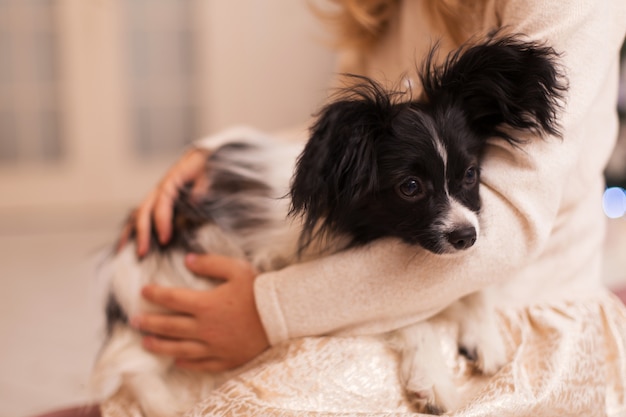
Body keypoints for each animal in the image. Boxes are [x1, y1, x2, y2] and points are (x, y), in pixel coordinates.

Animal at [90, 34, 564, 414]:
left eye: (469, 174)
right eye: (410, 187)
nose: (466, 237)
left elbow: (475, 284)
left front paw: (484, 336)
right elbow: (411, 319)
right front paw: (431, 380)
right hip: (181, 282)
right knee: (133, 365)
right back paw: (167, 403)